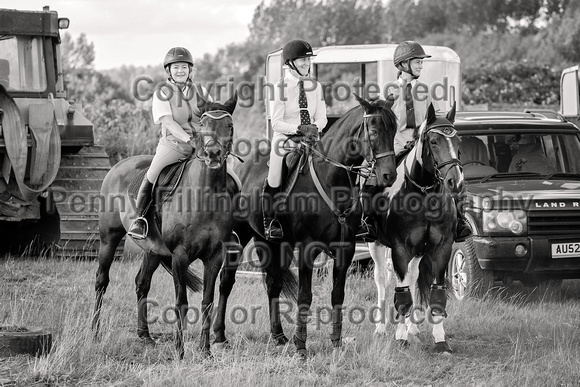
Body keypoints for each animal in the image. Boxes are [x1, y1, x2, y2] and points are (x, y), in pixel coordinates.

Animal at [92, 92, 237, 360]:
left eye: (229, 126)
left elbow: (207, 301)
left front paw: (205, 350)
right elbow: (181, 302)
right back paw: (94, 332)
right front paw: (180, 351)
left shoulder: (215, 256)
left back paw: (145, 336)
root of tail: (118, 166)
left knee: (141, 283)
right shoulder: (180, 256)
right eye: (203, 124)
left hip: (153, 250)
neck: (205, 195)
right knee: (101, 280)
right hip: (109, 238)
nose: (213, 153)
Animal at [213, 94, 398, 360]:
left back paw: (278, 335)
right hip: (240, 235)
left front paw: (336, 342)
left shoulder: (346, 248)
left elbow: (337, 294)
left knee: (273, 284)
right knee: (226, 281)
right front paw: (301, 345)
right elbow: (305, 295)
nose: (388, 176)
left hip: (271, 241)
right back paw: (220, 336)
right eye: (373, 130)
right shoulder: (308, 248)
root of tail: (241, 166)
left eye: (394, 130)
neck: (332, 179)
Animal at [370, 104, 464, 354]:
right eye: (433, 141)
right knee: (382, 280)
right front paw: (400, 337)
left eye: (458, 141)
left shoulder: (441, 249)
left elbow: (436, 294)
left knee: (412, 278)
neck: (423, 196)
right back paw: (380, 328)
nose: (456, 182)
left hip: (418, 253)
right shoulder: (400, 250)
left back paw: (412, 328)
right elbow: (402, 296)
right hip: (375, 244)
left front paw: (440, 340)